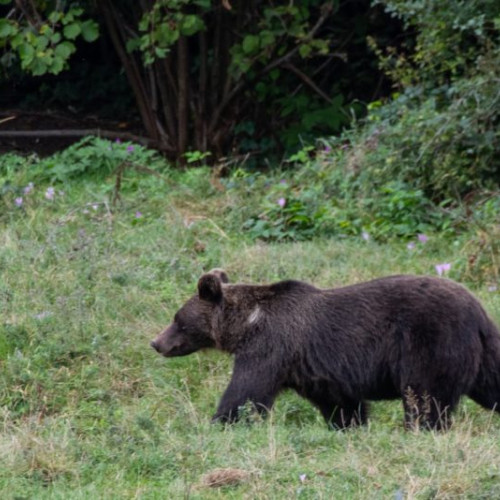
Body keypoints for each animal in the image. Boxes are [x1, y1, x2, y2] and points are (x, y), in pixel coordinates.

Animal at [149, 270, 500, 430]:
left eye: (177, 319)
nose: (156, 342)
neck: (247, 325)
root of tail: (478, 311)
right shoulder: (318, 371)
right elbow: (341, 404)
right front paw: (349, 426)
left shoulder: (270, 349)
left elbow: (245, 394)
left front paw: (219, 422)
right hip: (484, 353)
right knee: (492, 386)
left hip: (429, 343)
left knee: (425, 398)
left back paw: (420, 428)